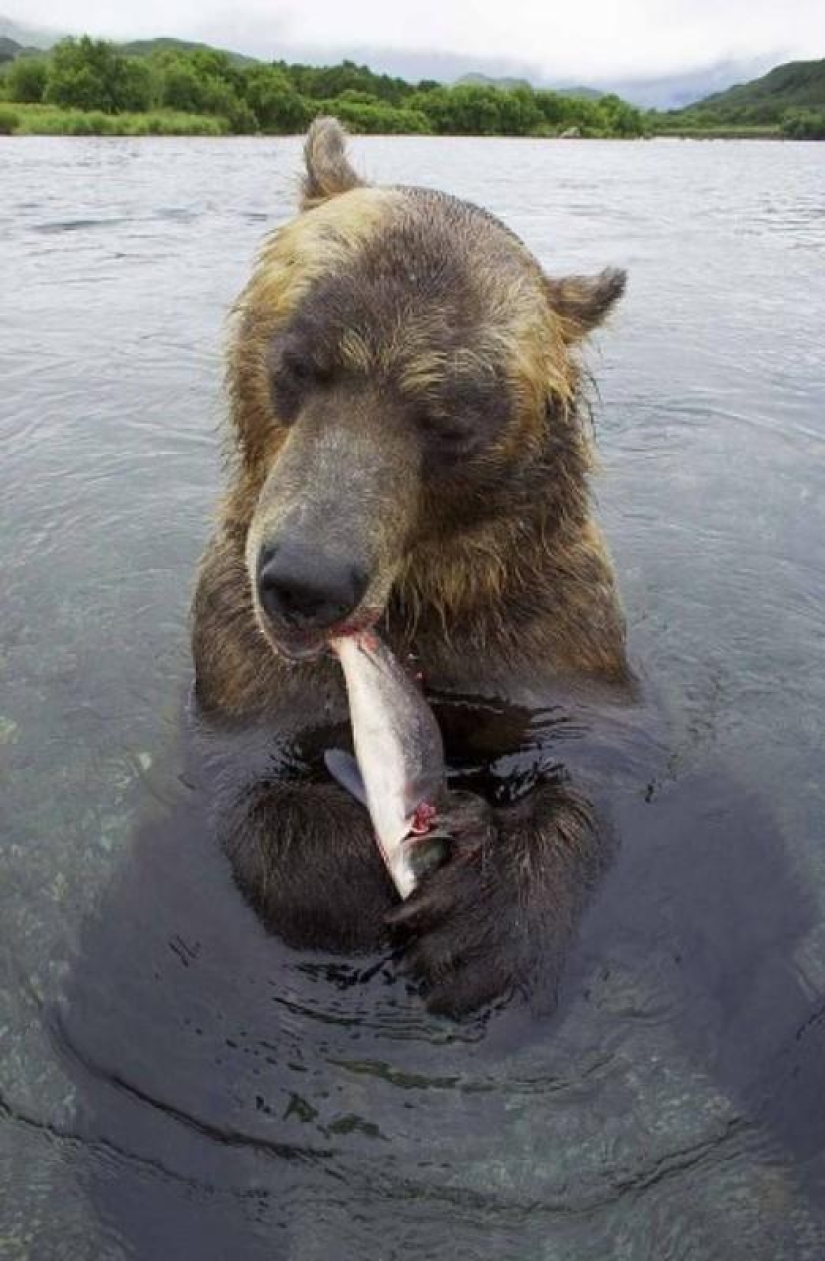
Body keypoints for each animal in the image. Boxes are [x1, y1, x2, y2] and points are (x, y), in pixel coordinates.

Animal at [191, 116, 630, 1016]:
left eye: (448, 418)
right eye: (299, 361)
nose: (307, 582)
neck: (423, 602)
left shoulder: (548, 631)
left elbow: (601, 765)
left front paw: (489, 911)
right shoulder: (236, 655)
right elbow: (236, 779)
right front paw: (348, 869)